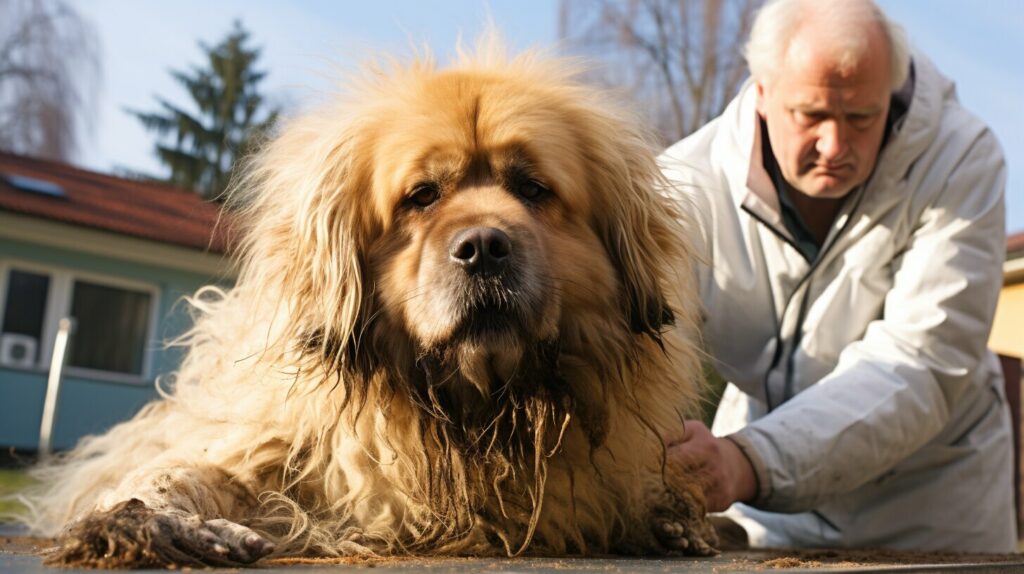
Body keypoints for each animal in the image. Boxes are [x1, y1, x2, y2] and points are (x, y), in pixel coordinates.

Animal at [22, 38, 712, 564]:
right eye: (423, 195)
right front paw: (150, 520)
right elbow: (180, 473)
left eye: (532, 189)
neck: (473, 416)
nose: (484, 247)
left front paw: (672, 510)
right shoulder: (261, 444)